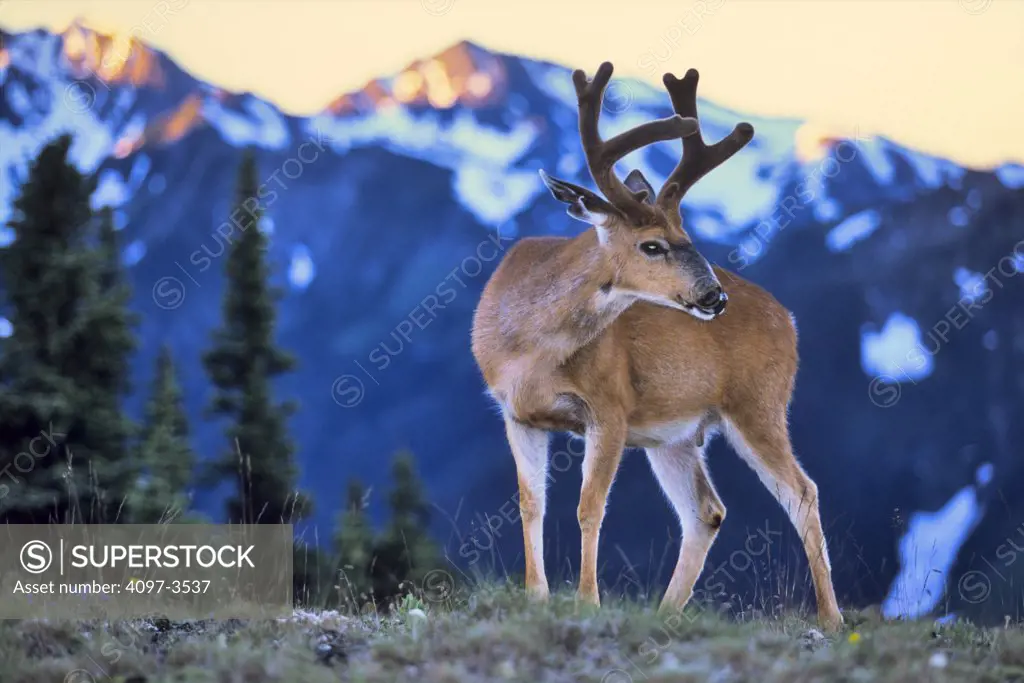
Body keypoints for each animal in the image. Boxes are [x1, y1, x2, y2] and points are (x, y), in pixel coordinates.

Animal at [468, 62, 843, 630]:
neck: (532, 350)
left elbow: (589, 506)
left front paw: (587, 602)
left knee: (801, 492)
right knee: (707, 511)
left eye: (689, 235)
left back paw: (832, 619)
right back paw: (666, 613)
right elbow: (531, 504)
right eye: (653, 245)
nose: (714, 296)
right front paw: (535, 599)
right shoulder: (516, 414)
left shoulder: (610, 407)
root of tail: (790, 320)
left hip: (758, 403)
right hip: (676, 436)